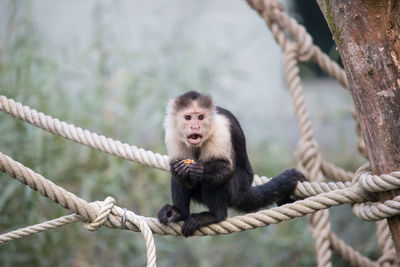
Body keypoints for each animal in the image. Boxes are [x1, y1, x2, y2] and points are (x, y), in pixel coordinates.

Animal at [158, 91, 304, 238]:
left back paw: (216, 215)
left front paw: (201, 170)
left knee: (213, 182)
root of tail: (243, 192)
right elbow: (177, 169)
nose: (195, 126)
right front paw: (180, 171)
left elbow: (226, 169)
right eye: (188, 117)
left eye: (200, 117)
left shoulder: (220, 130)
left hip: (236, 188)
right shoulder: (172, 133)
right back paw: (179, 213)